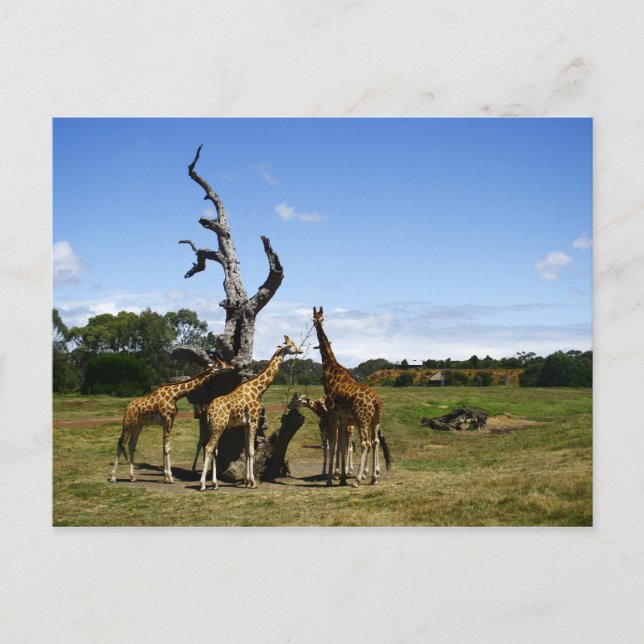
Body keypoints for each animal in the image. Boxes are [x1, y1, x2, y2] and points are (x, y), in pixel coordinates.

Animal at [199, 336, 303, 491]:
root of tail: (209, 410)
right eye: (291, 345)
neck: (257, 389)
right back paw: (202, 484)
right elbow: (252, 451)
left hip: (213, 426)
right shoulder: (254, 420)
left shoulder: (246, 424)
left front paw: (247, 481)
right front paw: (253, 482)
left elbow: (248, 450)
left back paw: (215, 483)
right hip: (219, 426)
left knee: (213, 450)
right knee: (209, 448)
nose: (300, 350)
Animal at [312, 306, 386, 486]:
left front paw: (331, 478)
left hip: (362, 418)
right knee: (375, 441)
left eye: (320, 318)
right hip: (375, 419)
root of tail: (376, 401)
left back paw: (358, 479)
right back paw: (373, 477)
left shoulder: (332, 414)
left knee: (366, 443)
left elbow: (334, 446)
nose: (317, 322)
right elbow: (342, 445)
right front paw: (342, 477)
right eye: (315, 318)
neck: (331, 373)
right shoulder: (344, 417)